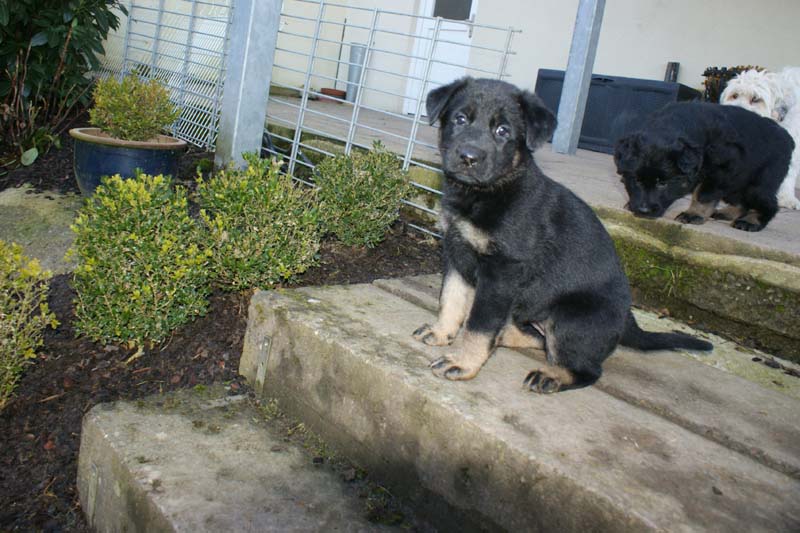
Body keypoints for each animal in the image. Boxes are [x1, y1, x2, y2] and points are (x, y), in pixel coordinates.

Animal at [413, 78, 712, 394]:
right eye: (460, 119)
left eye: (503, 131)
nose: (468, 157)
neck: (486, 193)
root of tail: (626, 324)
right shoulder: (456, 254)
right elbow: (451, 299)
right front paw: (442, 332)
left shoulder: (500, 273)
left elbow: (479, 324)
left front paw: (463, 362)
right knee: (539, 338)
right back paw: (505, 336)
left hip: (568, 318)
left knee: (587, 370)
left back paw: (551, 375)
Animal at [614, 102, 794, 232]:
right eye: (636, 180)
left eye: (662, 183)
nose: (643, 211)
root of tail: (787, 137)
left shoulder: (722, 168)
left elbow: (703, 195)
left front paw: (694, 215)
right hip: (738, 182)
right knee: (740, 202)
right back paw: (726, 213)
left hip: (758, 183)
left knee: (769, 204)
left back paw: (750, 221)